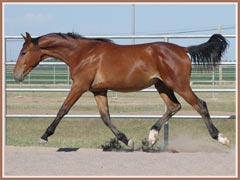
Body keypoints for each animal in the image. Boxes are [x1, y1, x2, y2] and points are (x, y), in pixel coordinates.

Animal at [13, 32, 231, 148]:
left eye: (24, 52)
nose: (16, 75)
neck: (82, 54)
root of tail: (183, 49)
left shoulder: (80, 86)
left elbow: (63, 109)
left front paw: (44, 136)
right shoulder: (98, 91)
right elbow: (105, 117)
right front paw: (127, 140)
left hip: (180, 85)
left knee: (200, 105)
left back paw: (221, 138)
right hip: (162, 85)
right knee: (173, 107)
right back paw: (151, 138)